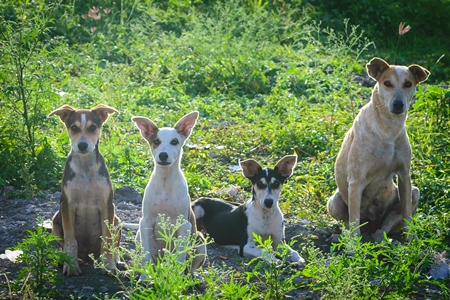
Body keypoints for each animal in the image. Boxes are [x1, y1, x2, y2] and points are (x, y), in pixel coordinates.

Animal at [49, 104, 120, 276]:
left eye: (92, 127)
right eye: (74, 128)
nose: (82, 145)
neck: (86, 167)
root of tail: (88, 256)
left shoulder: (107, 205)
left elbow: (107, 239)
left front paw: (109, 265)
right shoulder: (66, 205)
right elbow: (70, 240)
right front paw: (71, 265)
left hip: (117, 220)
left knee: (115, 245)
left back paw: (115, 260)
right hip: (55, 221)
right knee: (63, 245)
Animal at [326, 58, 428, 241]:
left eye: (408, 84)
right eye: (387, 83)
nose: (398, 104)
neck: (388, 129)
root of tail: (371, 223)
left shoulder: (404, 176)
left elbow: (407, 215)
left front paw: (412, 241)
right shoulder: (356, 180)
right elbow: (353, 222)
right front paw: (354, 246)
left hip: (414, 193)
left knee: (384, 227)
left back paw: (382, 239)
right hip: (334, 201)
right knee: (349, 224)